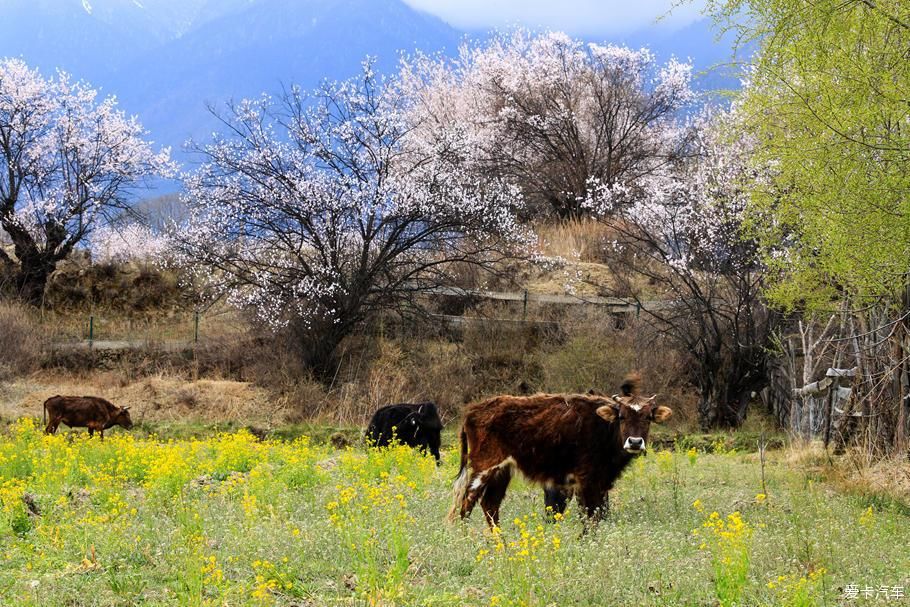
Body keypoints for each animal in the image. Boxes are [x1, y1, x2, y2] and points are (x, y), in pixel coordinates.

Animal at [452, 376, 672, 528]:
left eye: (647, 417)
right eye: (622, 416)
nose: (635, 442)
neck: (604, 427)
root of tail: (473, 410)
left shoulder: (599, 483)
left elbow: (598, 515)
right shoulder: (586, 481)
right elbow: (590, 516)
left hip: (502, 471)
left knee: (490, 505)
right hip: (483, 469)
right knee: (466, 503)